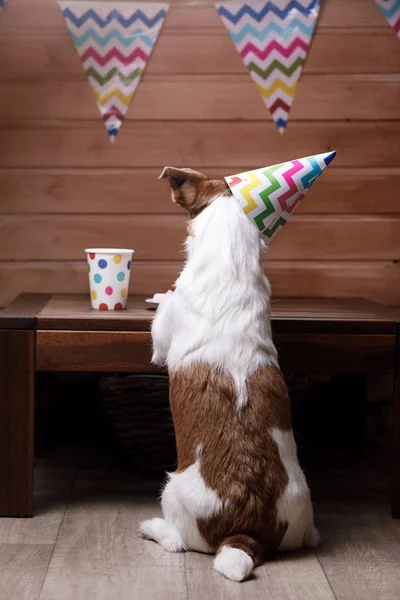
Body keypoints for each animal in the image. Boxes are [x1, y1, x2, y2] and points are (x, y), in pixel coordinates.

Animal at [139, 168, 318, 580]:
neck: (228, 266)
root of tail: (244, 531)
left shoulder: (161, 339)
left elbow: (159, 334)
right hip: (303, 503)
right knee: (310, 537)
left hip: (171, 491)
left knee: (177, 541)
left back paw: (154, 528)